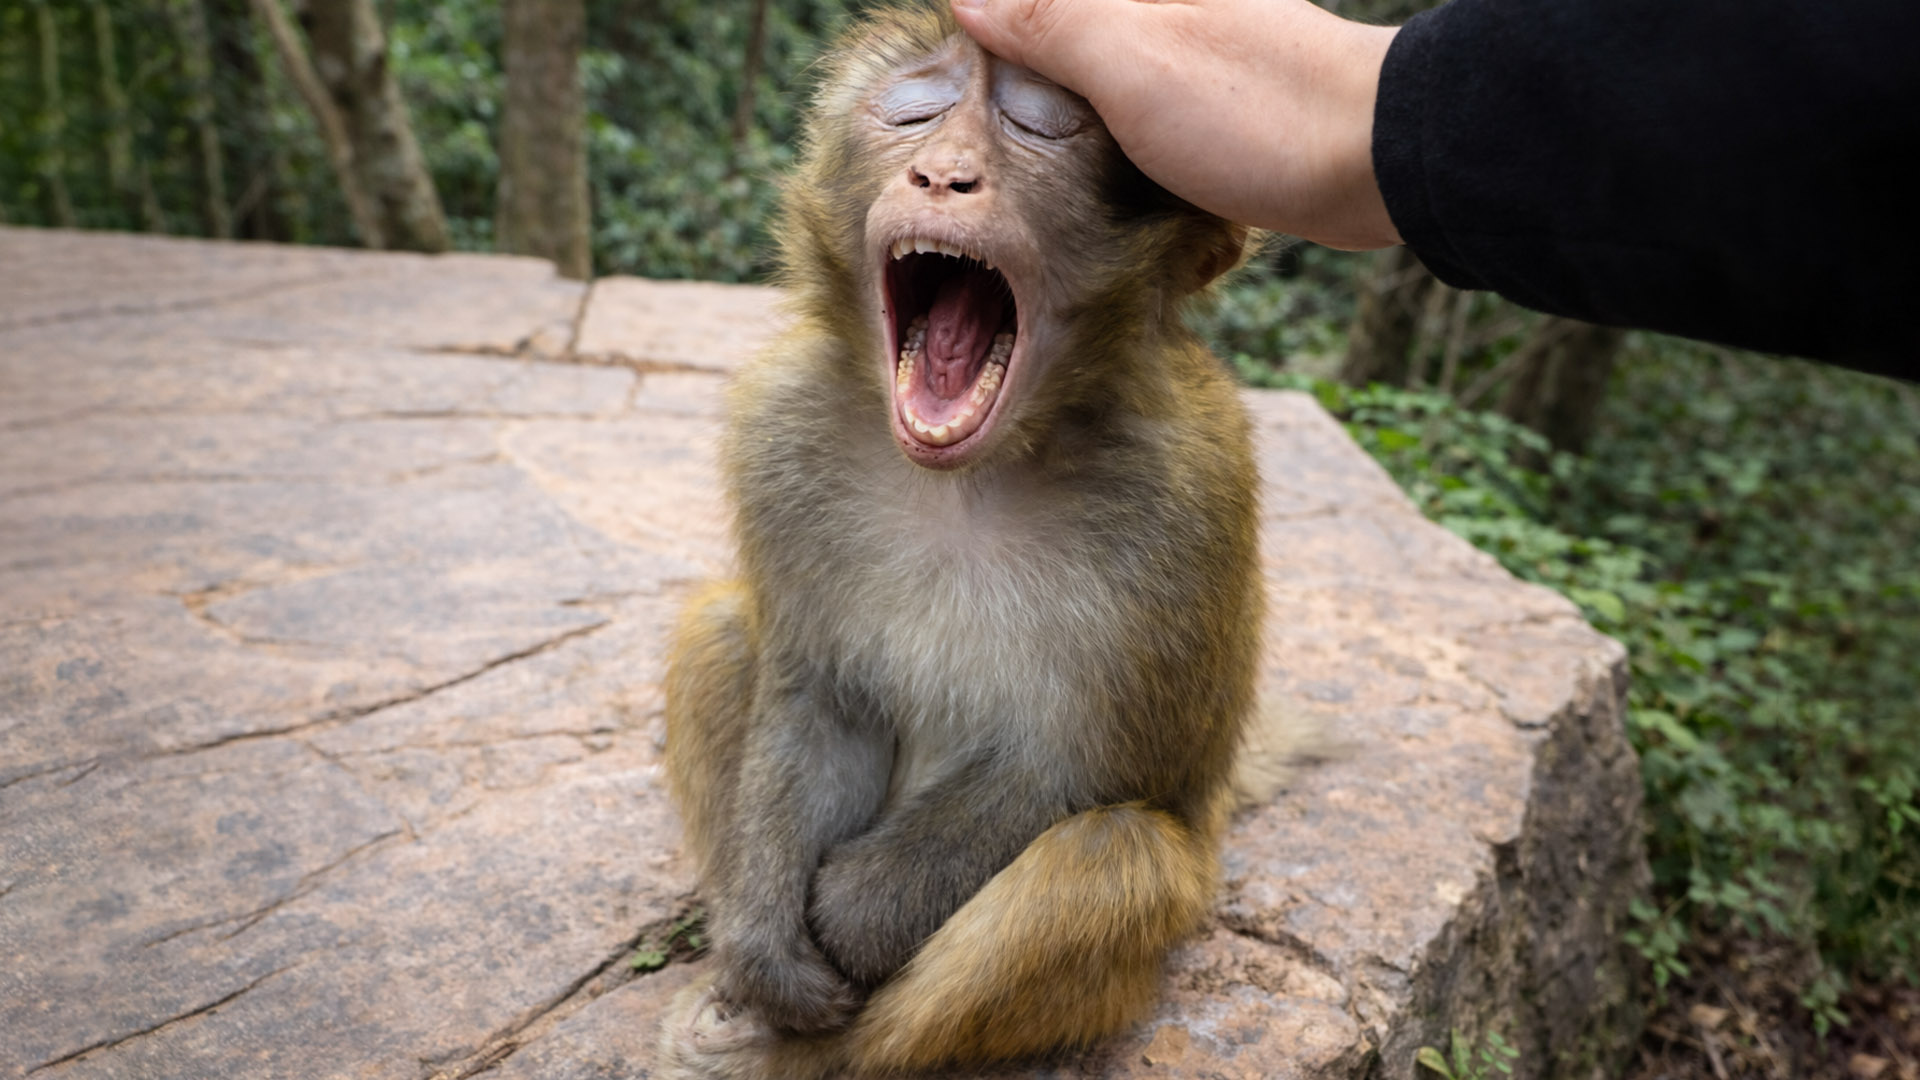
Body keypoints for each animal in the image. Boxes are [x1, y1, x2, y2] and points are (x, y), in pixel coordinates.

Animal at [657, 5, 1262, 1077]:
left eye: (1038, 126)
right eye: (915, 111)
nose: (943, 175)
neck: (968, 482)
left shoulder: (1194, 492)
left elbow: (1093, 764)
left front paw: (853, 912)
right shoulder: (781, 428)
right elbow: (819, 694)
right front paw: (766, 941)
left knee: (1116, 856)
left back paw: (828, 1054)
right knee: (722, 628)